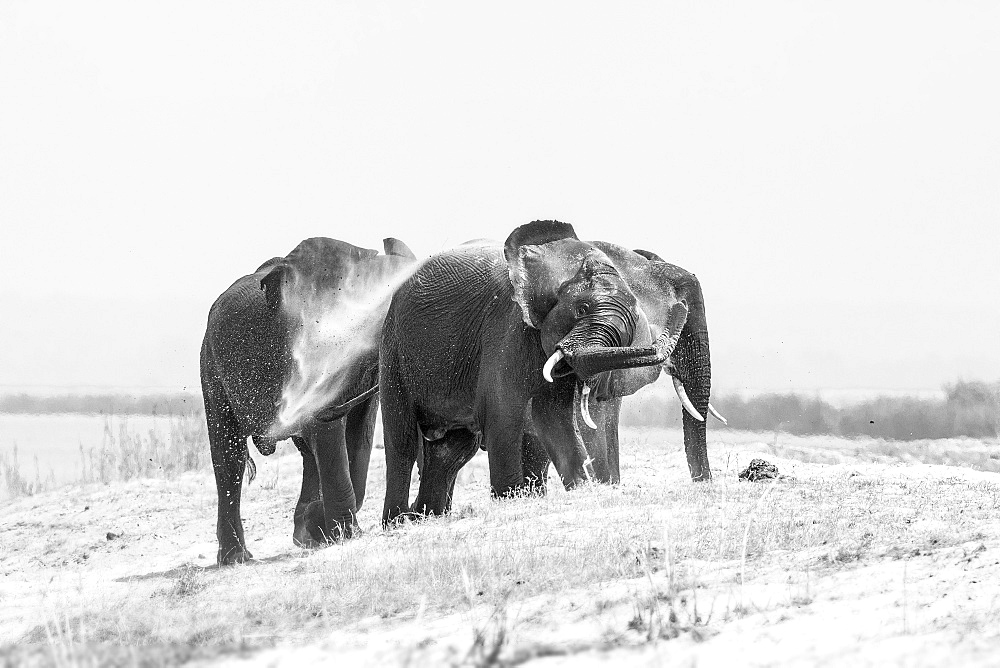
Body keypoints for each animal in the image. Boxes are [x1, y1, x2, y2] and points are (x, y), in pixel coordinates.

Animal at [199, 236, 414, 564]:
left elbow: (359, 433)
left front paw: (319, 526)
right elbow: (329, 432)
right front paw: (342, 533)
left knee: (309, 452)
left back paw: (307, 535)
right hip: (211, 367)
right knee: (229, 457)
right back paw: (237, 558)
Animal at [378, 222, 692, 524]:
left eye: (626, 333)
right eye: (582, 308)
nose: (681, 305)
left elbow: (553, 416)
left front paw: (582, 489)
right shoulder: (506, 327)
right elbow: (503, 412)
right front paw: (510, 499)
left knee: (451, 450)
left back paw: (426, 517)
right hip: (393, 350)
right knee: (402, 441)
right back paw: (396, 523)